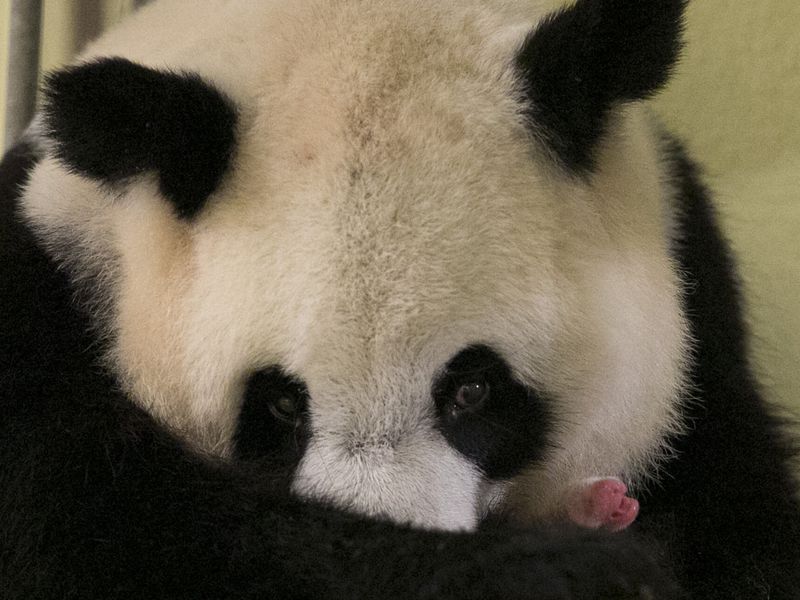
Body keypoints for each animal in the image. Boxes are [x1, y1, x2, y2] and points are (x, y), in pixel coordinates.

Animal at [2, 0, 799, 598]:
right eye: (281, 404)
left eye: (473, 390)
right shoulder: (40, 299)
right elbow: (116, 530)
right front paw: (565, 572)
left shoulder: (703, 334)